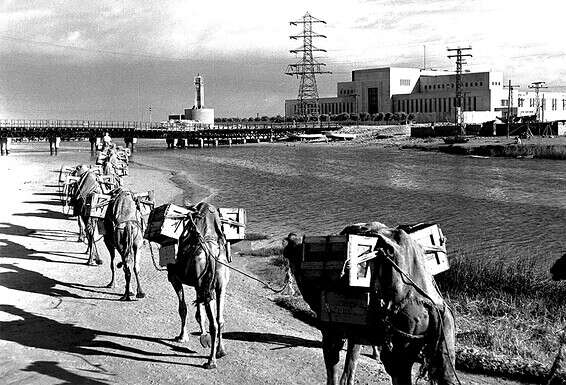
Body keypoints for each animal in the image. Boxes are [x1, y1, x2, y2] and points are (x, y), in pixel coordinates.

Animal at [166, 200, 231, 368]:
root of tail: (213, 254)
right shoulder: (200, 285)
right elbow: (199, 313)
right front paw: (202, 336)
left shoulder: (174, 278)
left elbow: (183, 308)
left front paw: (182, 337)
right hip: (220, 286)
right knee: (220, 320)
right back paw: (221, 351)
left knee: (214, 324)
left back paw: (211, 361)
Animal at [284, 222, 462, 384]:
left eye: (289, 251)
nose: (290, 236)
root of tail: (432, 307)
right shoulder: (356, 333)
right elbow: (350, 367)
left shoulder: (330, 330)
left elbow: (333, 370)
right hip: (446, 338)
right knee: (446, 374)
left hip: (402, 344)